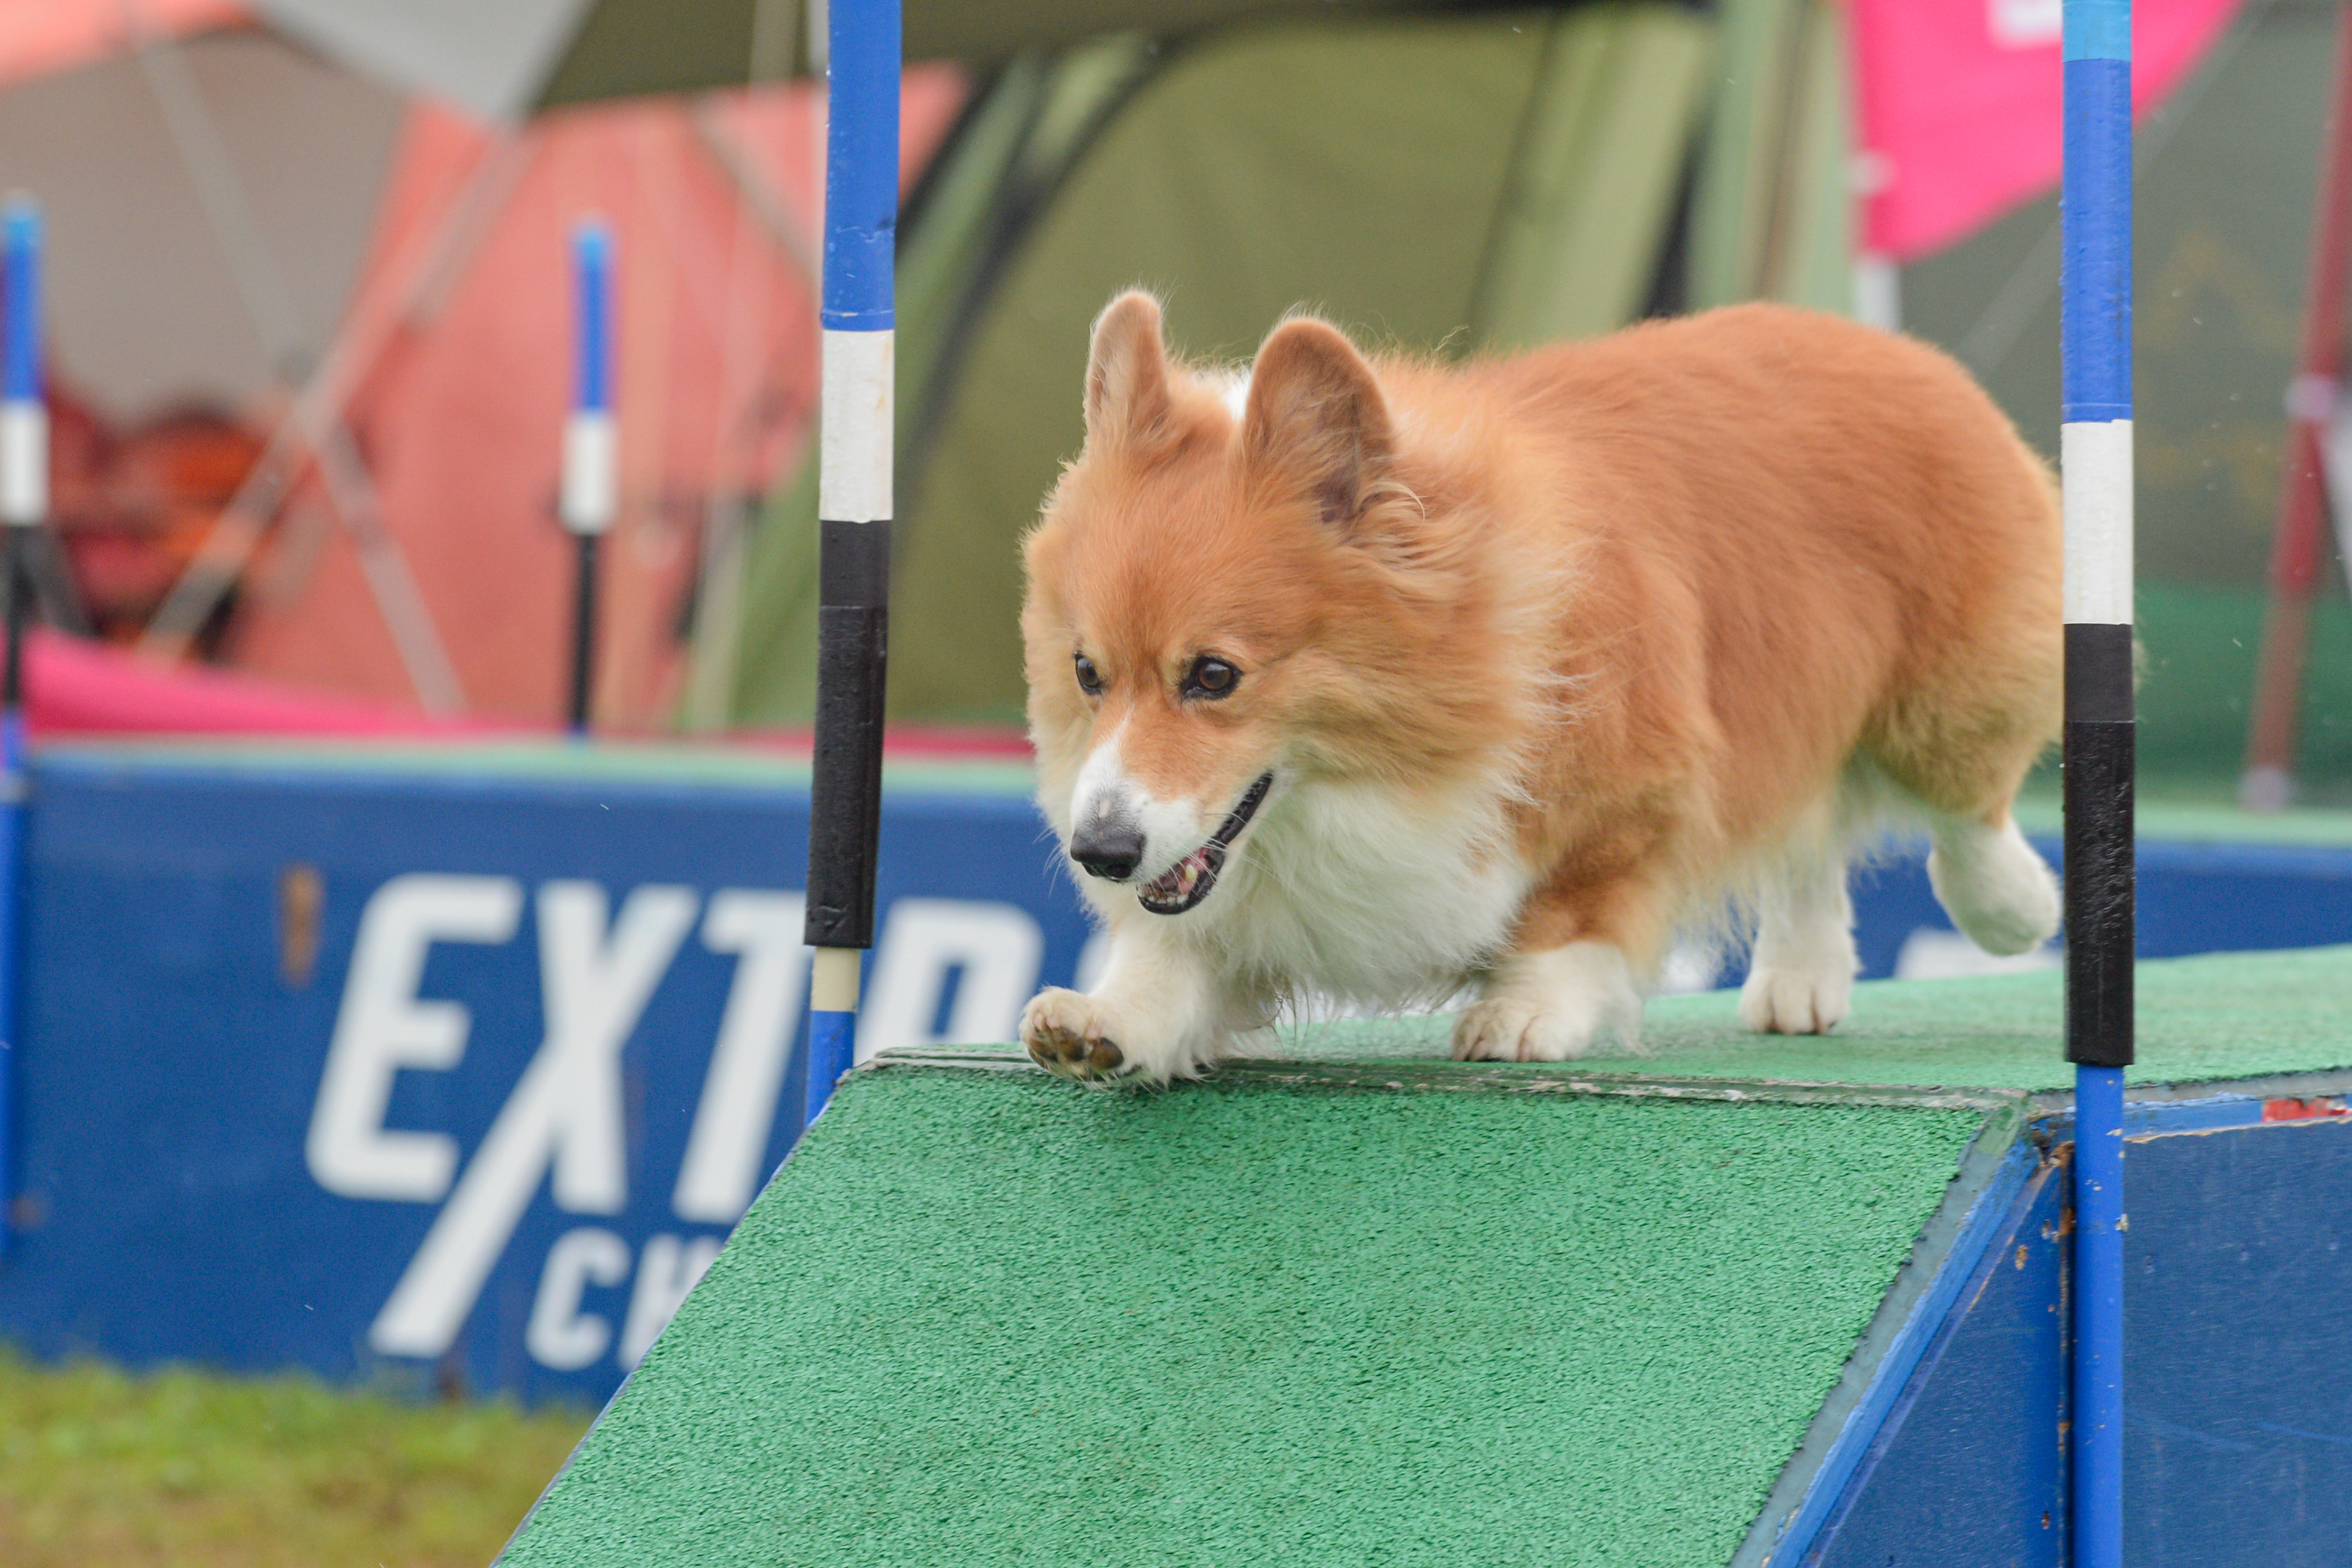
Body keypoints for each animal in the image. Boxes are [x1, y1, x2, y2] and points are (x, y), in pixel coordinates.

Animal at [1017, 291, 2061, 1083]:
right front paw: (1103, 1020)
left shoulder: (1636, 802)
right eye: (1086, 673)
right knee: (1805, 840)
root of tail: (1877, 339)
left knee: (1967, 810)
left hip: (1941, 699)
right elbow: (1173, 961)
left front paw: (1524, 1015)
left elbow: (1572, 920)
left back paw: (2017, 910)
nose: (1098, 853)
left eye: (1215, 676)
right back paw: (1802, 981)